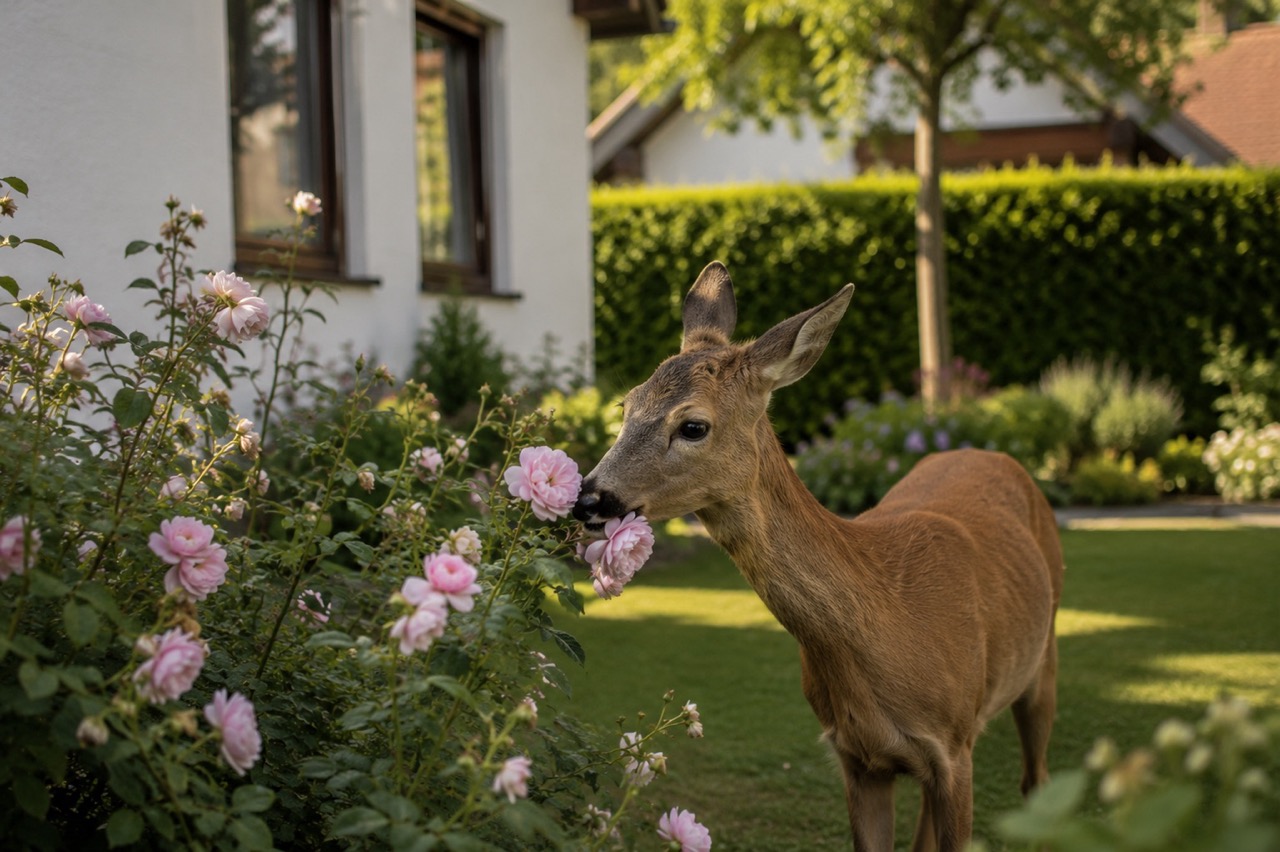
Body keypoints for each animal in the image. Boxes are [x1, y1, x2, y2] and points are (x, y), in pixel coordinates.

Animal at [573, 262, 1064, 851]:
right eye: (625, 406)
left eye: (692, 426)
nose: (587, 499)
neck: (893, 631)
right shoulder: (858, 757)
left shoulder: (954, 744)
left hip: (1042, 656)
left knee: (1037, 781)